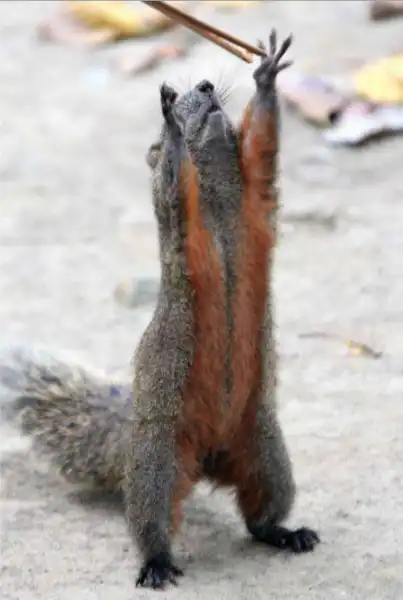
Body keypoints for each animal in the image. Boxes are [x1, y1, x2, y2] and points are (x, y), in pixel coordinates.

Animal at [0, 30, 320, 590]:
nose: (207, 86)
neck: (220, 201)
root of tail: (209, 457)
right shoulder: (180, 217)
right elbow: (172, 179)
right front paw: (171, 124)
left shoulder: (258, 195)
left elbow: (264, 147)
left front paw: (265, 77)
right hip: (158, 464)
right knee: (152, 520)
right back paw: (156, 563)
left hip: (266, 451)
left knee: (259, 514)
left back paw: (285, 533)